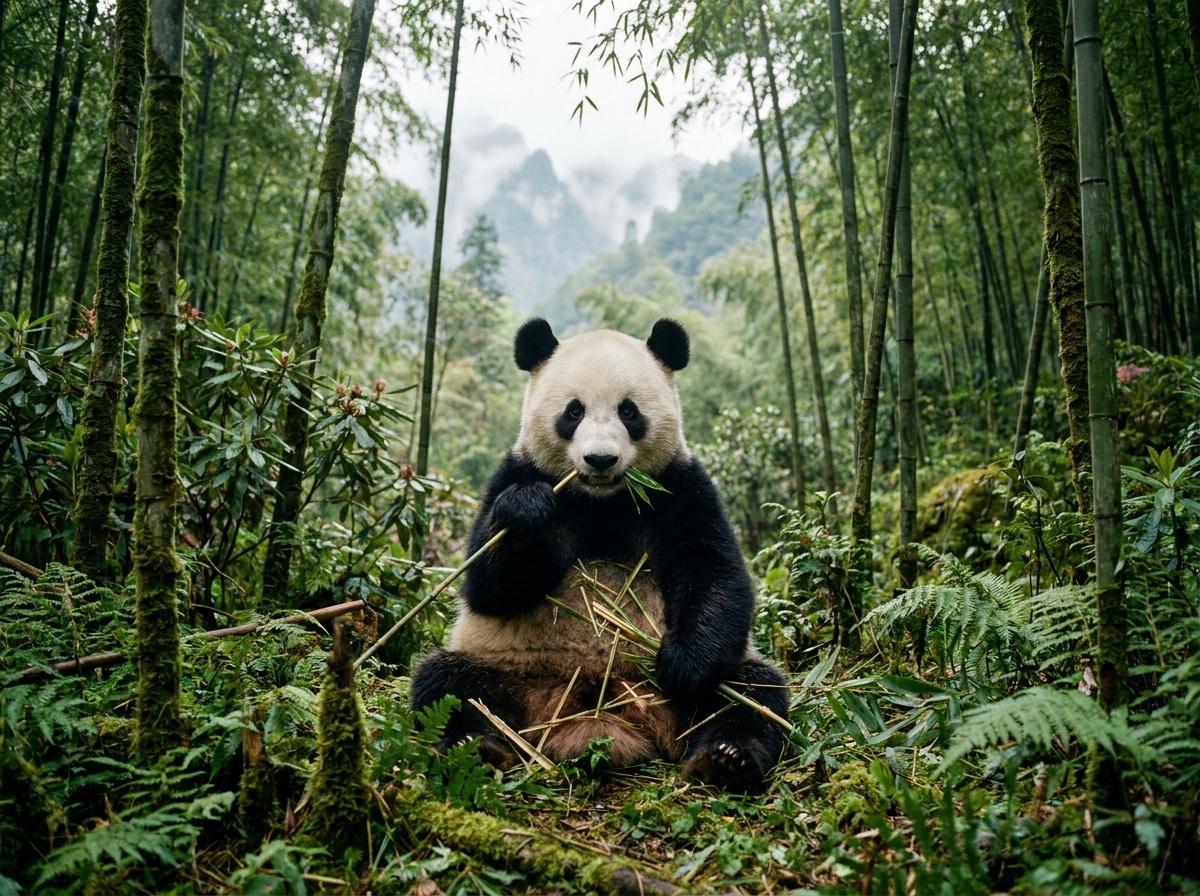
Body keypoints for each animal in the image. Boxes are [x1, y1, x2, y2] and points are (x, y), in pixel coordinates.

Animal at [411, 317, 789, 792]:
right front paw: (527, 510)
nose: (600, 459)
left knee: (753, 696)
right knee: (449, 687)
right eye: (573, 412)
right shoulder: (515, 473)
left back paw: (725, 758)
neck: (602, 502)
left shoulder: (681, 488)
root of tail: (600, 713)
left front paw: (682, 665)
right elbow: (488, 587)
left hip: (708, 685)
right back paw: (477, 749)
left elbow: (714, 573)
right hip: (506, 666)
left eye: (629, 411)